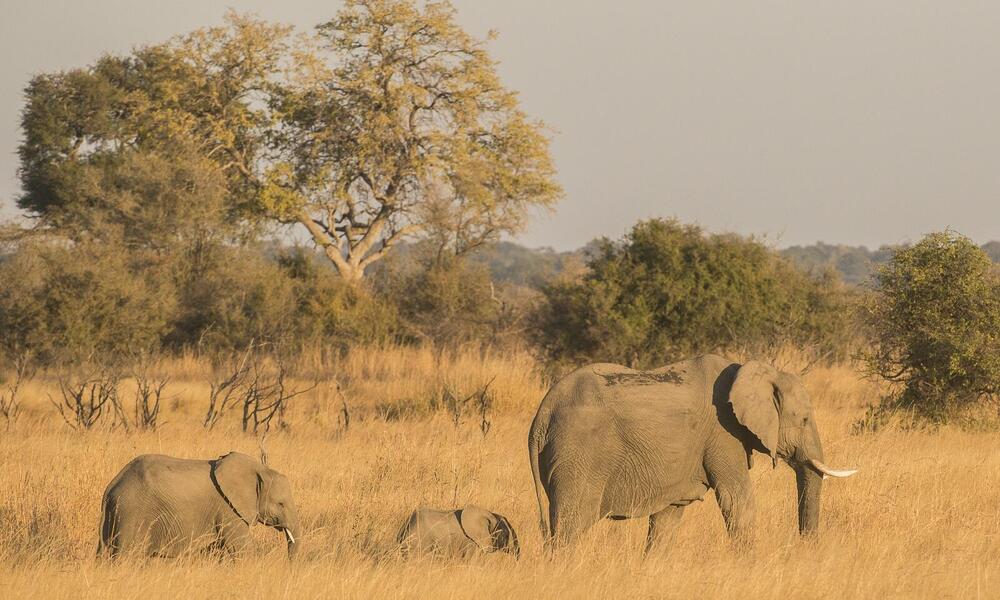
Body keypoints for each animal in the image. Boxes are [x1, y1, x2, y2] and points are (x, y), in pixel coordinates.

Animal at [97, 452, 300, 560]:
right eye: (281, 504)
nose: (289, 567)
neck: (259, 469)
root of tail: (111, 487)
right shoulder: (229, 509)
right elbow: (241, 548)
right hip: (132, 513)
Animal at [528, 354, 856, 552]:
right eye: (804, 420)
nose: (805, 549)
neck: (749, 370)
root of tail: (542, 415)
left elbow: (668, 515)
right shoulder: (723, 433)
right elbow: (737, 501)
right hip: (580, 454)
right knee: (570, 525)